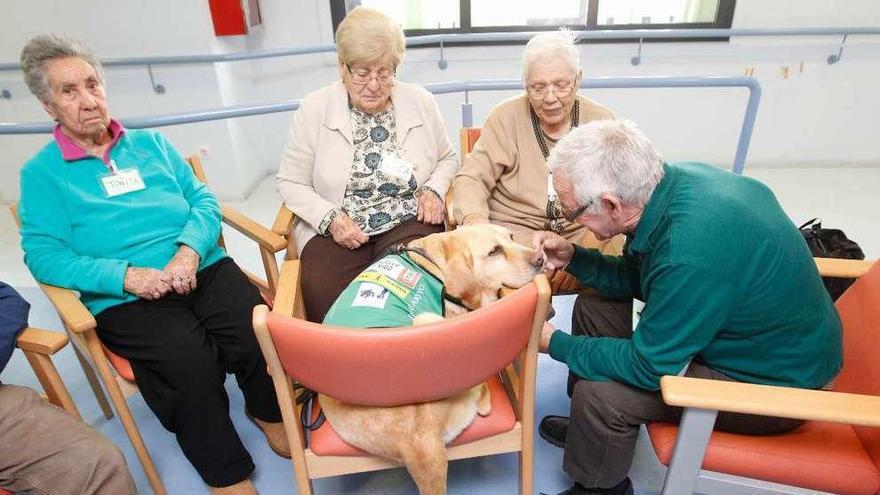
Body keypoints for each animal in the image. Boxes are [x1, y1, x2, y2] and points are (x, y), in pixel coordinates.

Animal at [318, 226, 536, 495]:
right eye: (494, 251)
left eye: (512, 237)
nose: (540, 259)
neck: (435, 262)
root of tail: (419, 442)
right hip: (426, 319)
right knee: (481, 396)